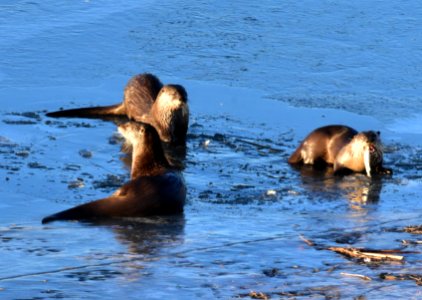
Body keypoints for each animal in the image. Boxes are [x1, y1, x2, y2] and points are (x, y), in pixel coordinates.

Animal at [45, 74, 189, 146]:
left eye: (185, 92)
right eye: (174, 94)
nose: (183, 98)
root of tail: (124, 101)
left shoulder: (183, 124)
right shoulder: (161, 126)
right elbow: (166, 137)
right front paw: (170, 139)